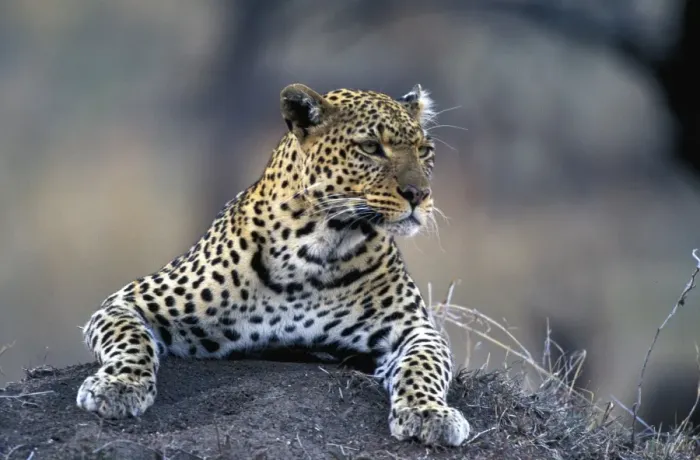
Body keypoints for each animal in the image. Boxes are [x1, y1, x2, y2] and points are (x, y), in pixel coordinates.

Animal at [76, 83, 471, 446]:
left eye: (424, 151)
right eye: (372, 147)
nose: (419, 195)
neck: (319, 249)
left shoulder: (415, 329)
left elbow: (424, 367)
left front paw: (428, 413)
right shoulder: (130, 300)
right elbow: (130, 339)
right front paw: (118, 385)